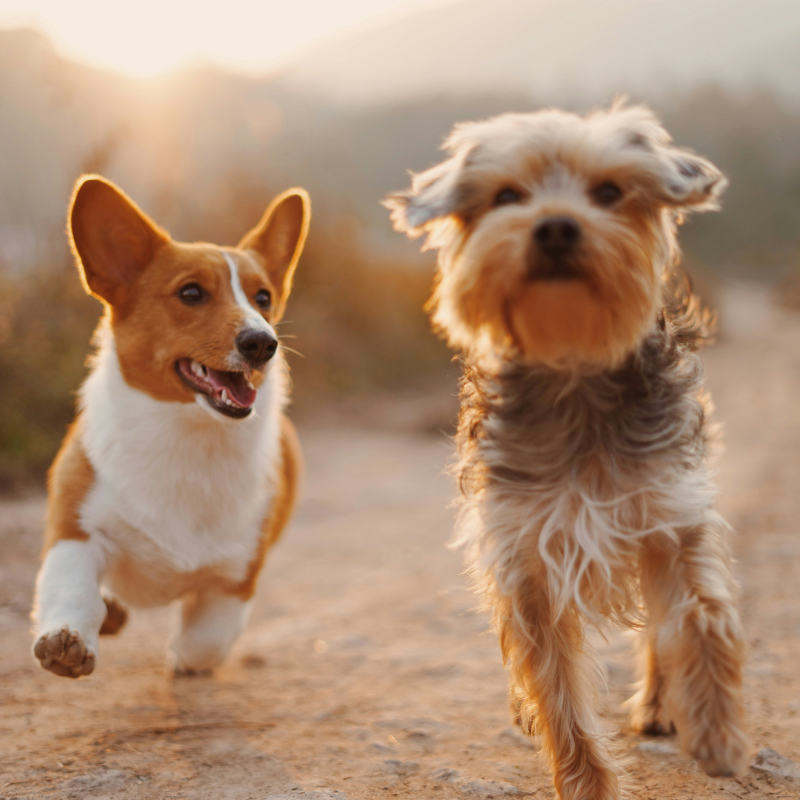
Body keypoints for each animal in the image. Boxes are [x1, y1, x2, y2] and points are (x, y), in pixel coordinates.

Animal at [31, 178, 308, 680]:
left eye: (263, 298)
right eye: (191, 293)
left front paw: (182, 658)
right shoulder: (76, 530)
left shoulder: (237, 577)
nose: (263, 343)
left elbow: (205, 641)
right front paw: (67, 639)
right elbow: (71, 588)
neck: (188, 435)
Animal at [388, 104, 752, 800]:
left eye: (609, 192)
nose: (556, 226)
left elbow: (702, 614)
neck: (573, 366)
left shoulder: (669, 512)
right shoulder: (524, 554)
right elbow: (555, 686)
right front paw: (587, 783)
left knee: (659, 631)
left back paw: (662, 705)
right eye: (507, 196)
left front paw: (717, 729)